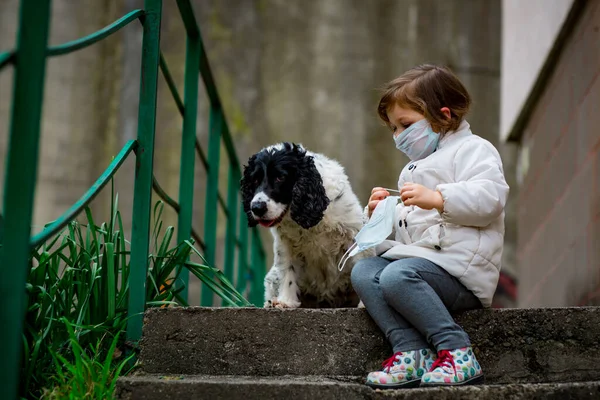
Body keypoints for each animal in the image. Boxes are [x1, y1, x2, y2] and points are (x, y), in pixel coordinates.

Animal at [241, 142, 368, 308]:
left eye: (280, 177)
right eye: (255, 180)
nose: (257, 207)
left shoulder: (352, 234)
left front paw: (364, 304)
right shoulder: (285, 243)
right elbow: (287, 269)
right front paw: (285, 301)